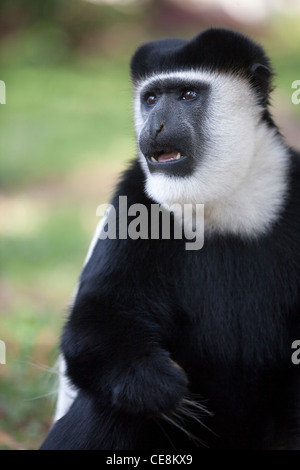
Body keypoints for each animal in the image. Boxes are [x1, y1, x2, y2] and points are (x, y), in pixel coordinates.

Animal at [41, 27, 300, 450]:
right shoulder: (133, 202)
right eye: (150, 99)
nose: (155, 126)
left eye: (187, 95)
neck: (221, 205)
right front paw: (158, 387)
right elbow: (97, 318)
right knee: (106, 407)